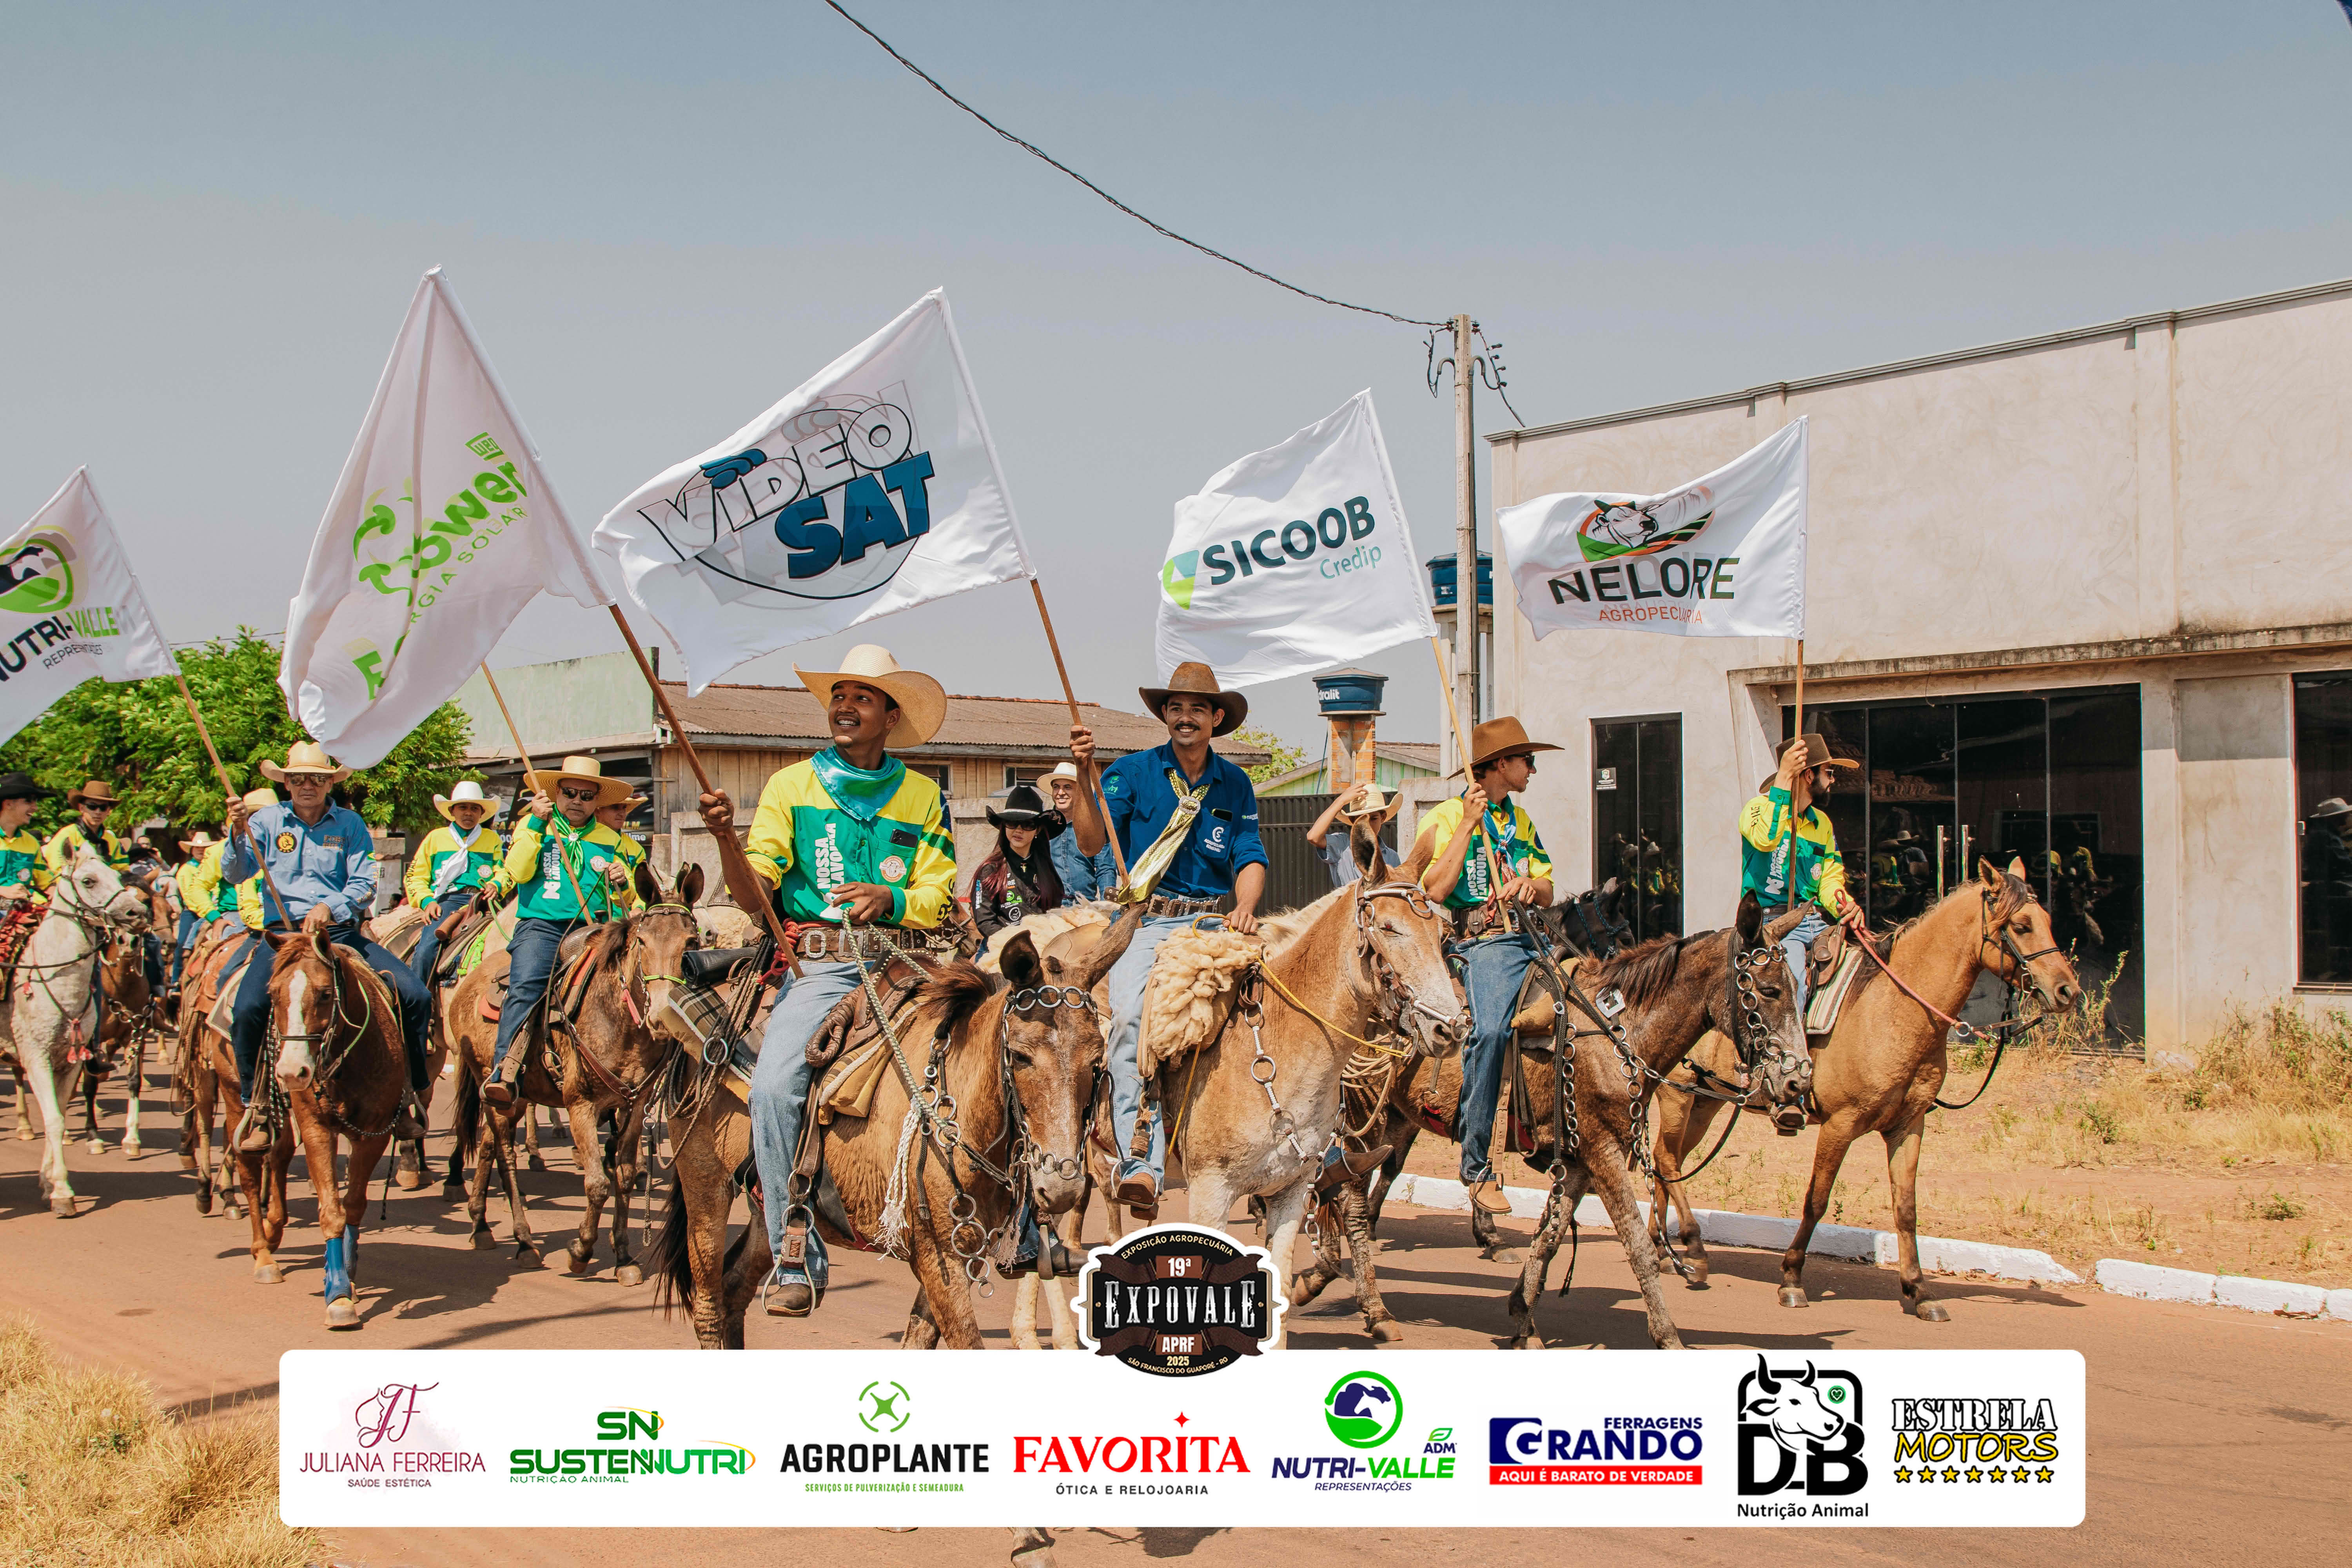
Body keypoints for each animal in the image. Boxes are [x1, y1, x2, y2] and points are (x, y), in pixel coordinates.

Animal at [1, 847, 154, 1215]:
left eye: (117, 876)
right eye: (88, 880)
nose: (137, 915)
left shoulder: (69, 1060)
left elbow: (57, 1112)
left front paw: (49, 1184)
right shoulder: (37, 1058)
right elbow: (56, 1119)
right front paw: (62, 1193)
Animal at [447, 865, 702, 1277]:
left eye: (692, 941)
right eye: (642, 942)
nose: (662, 1016)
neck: (619, 1020)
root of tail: (469, 981)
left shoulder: (633, 1105)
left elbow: (624, 1176)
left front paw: (623, 1257)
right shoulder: (580, 1105)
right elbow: (597, 1183)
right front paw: (581, 1250)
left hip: (516, 1098)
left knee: (487, 1146)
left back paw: (481, 1223)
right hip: (494, 1086)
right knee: (505, 1155)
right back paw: (523, 1241)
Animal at [653, 911, 1137, 1351]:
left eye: (1097, 1059)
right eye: (1020, 1056)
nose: (1060, 1187)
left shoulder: (956, 1257)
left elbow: (918, 1341)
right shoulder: (938, 1256)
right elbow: (966, 1342)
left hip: (759, 1206)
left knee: (735, 1287)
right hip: (705, 1185)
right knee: (709, 1305)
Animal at [1296, 899, 1807, 1348]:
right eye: (1769, 991)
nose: (1798, 1081)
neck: (1617, 1029)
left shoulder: (1580, 1161)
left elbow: (1551, 1236)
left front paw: (1523, 1319)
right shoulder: (1604, 1152)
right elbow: (1637, 1245)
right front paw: (1669, 1336)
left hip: (1391, 1118)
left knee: (1332, 1184)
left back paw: (1319, 1276)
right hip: (1363, 1111)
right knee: (1349, 1200)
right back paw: (1375, 1310)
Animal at [1650, 858, 2080, 1321]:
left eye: (2048, 921)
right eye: (2021, 925)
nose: (2068, 990)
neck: (1894, 1008)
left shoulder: (1908, 1126)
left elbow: (1906, 1209)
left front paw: (1920, 1290)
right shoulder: (1841, 1124)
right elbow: (1817, 1200)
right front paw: (1792, 1279)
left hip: (1705, 1102)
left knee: (1666, 1159)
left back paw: (1663, 1251)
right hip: (1678, 1095)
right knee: (1667, 1160)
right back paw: (1691, 1249)